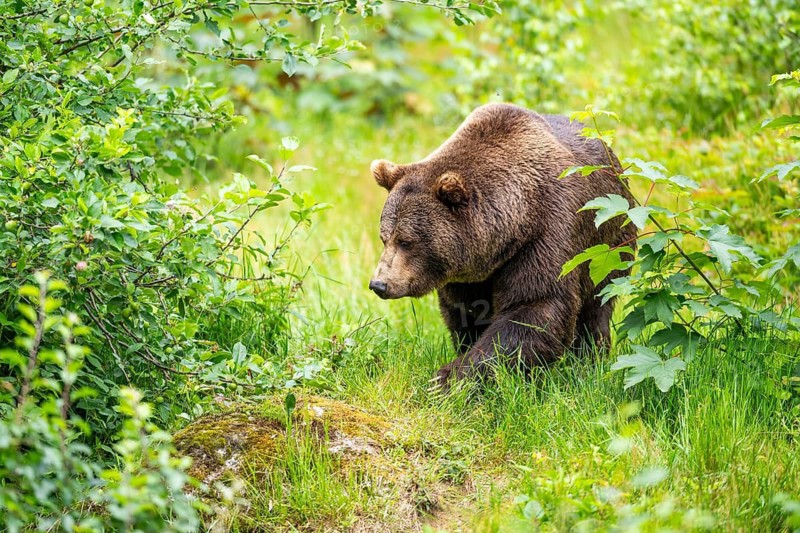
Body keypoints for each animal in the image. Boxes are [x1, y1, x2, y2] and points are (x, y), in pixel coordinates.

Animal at [368, 103, 636, 387]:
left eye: (406, 241)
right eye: (384, 237)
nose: (379, 284)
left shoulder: (546, 234)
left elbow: (535, 307)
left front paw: (448, 378)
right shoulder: (470, 274)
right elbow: (465, 312)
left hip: (607, 247)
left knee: (595, 307)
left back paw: (588, 361)